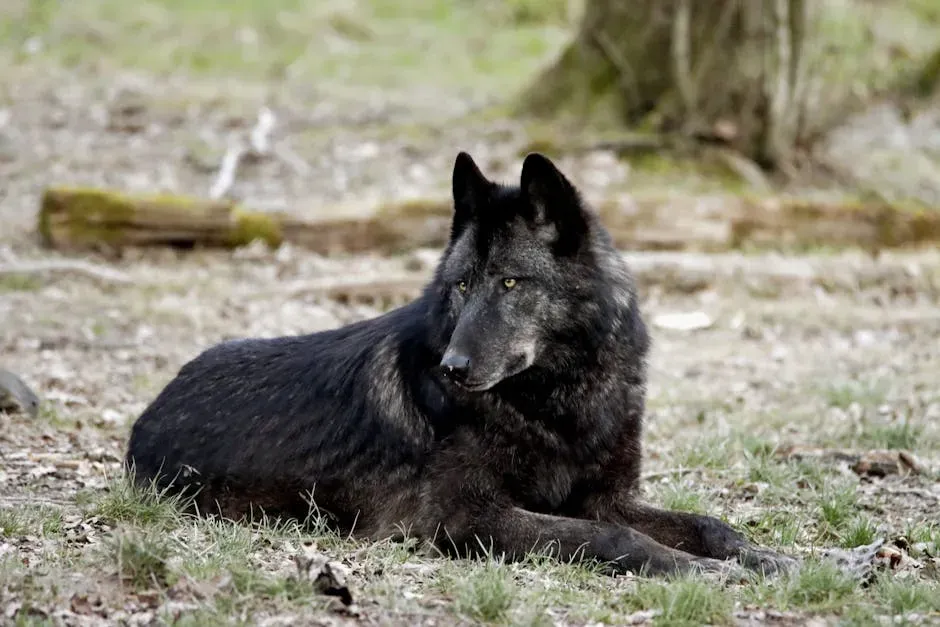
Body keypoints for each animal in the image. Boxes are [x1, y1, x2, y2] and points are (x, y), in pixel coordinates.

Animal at [126, 151, 794, 579]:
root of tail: (148, 412)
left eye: (510, 282)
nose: (452, 367)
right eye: (463, 284)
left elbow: (708, 522)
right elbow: (613, 537)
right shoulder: (461, 516)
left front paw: (766, 557)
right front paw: (703, 571)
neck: (559, 404)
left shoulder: (605, 495)